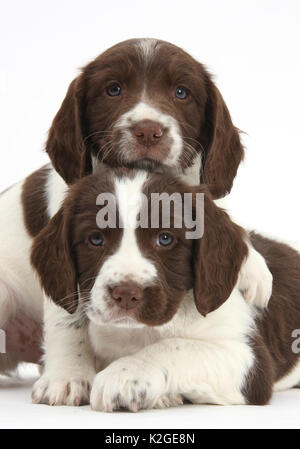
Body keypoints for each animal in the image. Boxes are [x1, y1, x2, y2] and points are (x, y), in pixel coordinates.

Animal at [0, 38, 272, 374]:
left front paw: (255, 267)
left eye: (181, 92)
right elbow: (68, 320)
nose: (148, 131)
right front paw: (69, 376)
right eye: (113, 89)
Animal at [29, 167, 300, 410]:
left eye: (165, 238)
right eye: (95, 239)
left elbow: (177, 346)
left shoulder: (250, 358)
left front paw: (125, 375)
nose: (126, 294)